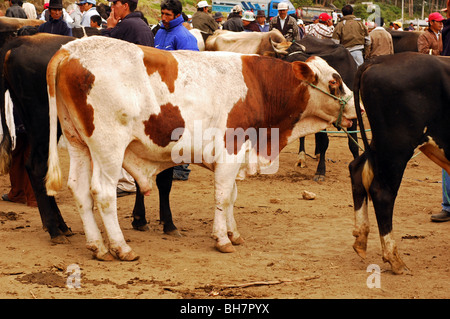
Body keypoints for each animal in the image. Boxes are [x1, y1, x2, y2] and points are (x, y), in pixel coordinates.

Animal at [350, 53, 450, 276]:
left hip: (381, 144)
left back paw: (361, 239)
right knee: (382, 192)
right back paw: (394, 259)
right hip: (396, 146)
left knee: (357, 169)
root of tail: (379, 60)